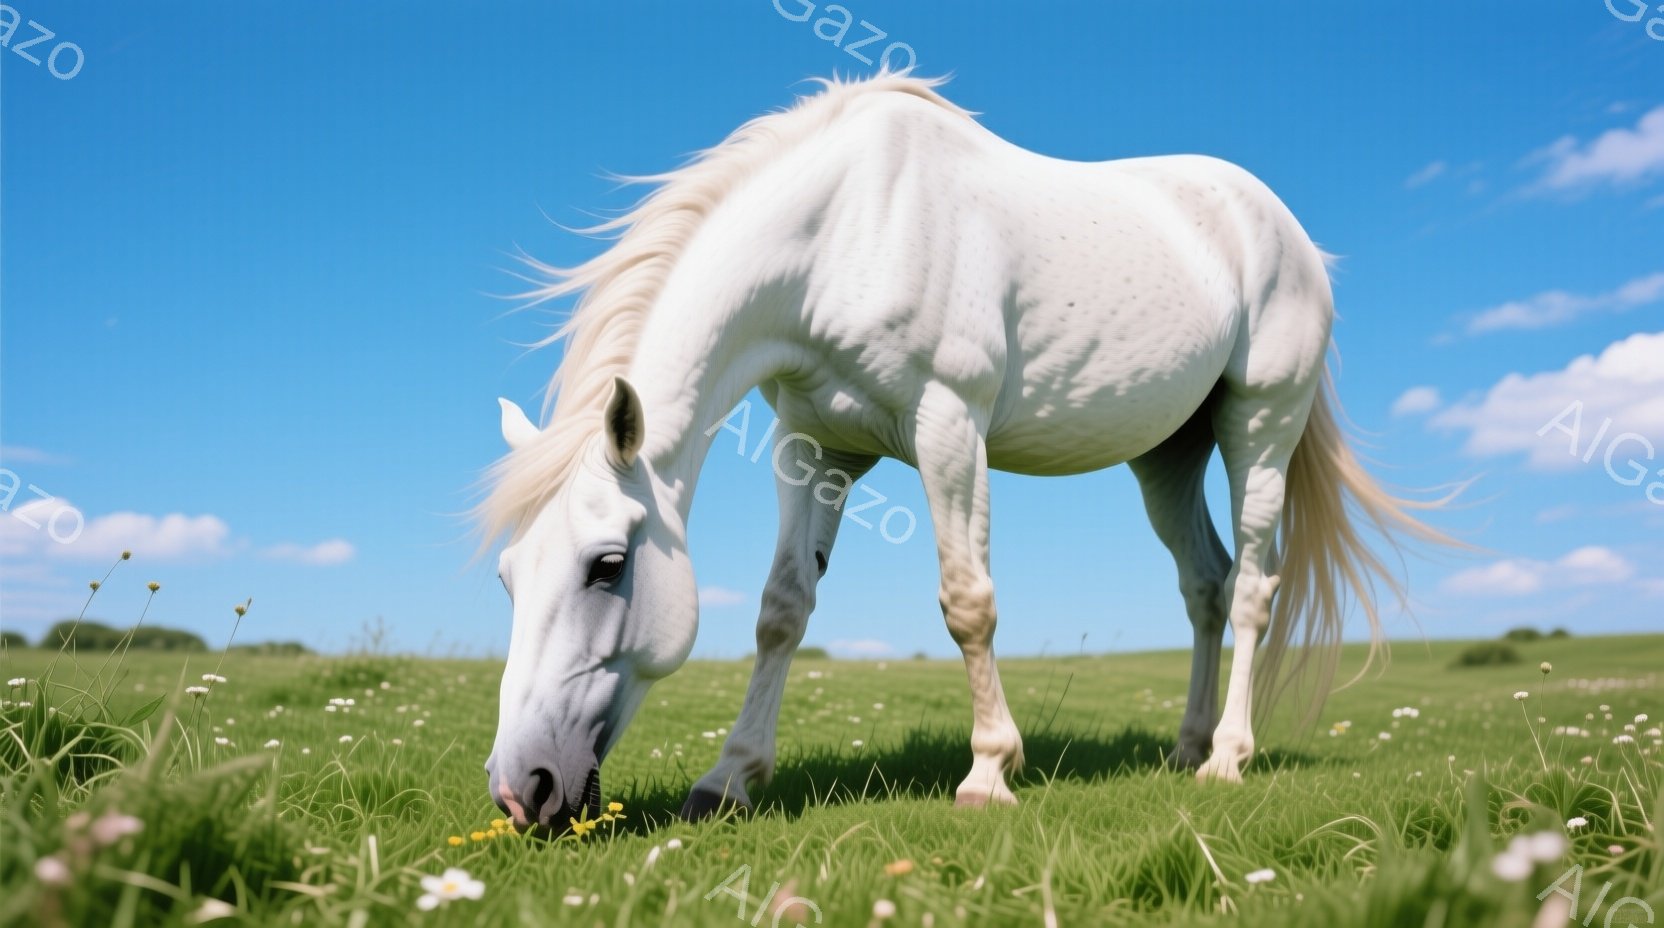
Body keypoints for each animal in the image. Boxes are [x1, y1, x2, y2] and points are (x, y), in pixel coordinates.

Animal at [477, 73, 1452, 830]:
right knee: (1205, 586)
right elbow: (782, 611)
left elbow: (967, 601)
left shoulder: (949, 429)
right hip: (1167, 454)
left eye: (608, 565)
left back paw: (1227, 758)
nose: (522, 790)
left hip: (1260, 426)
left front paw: (989, 771)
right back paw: (1184, 747)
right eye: (508, 579)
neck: (847, 229)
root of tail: (1283, 228)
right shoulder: (814, 451)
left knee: (1251, 586)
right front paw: (729, 780)